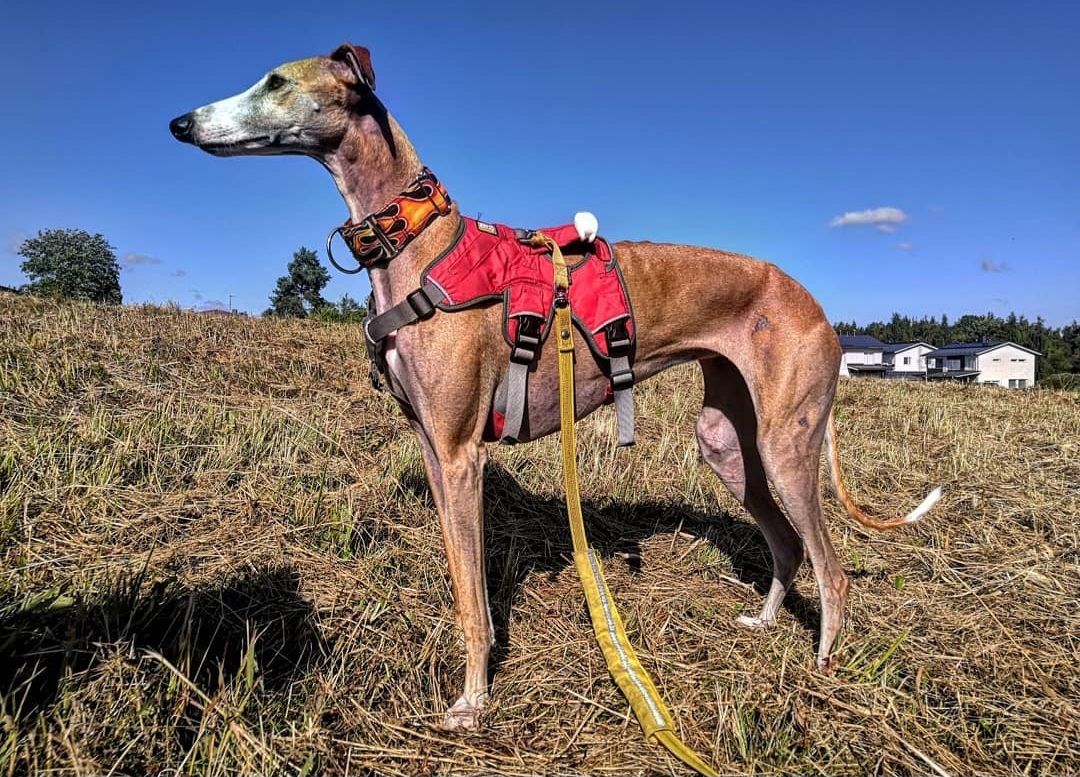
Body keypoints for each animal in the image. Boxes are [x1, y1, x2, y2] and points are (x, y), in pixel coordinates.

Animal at [172, 42, 941, 730]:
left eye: (275, 81)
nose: (180, 123)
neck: (419, 246)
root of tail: (818, 308)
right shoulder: (433, 449)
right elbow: (464, 584)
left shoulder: (462, 456)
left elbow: (474, 602)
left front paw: (473, 702)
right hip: (727, 441)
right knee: (786, 544)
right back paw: (762, 621)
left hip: (786, 444)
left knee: (833, 568)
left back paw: (822, 669)